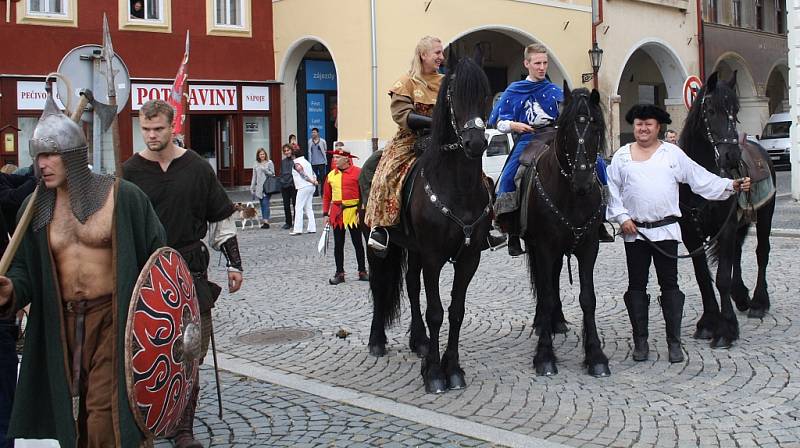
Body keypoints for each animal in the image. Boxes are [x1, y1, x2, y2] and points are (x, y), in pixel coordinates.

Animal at [368, 54, 494, 394]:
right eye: (453, 94)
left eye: (485, 94)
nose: (475, 143)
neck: (457, 187)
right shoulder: (434, 257)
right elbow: (436, 312)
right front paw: (435, 374)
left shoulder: (468, 258)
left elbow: (456, 311)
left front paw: (453, 368)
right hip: (376, 245)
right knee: (379, 286)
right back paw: (376, 341)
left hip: (414, 250)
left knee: (411, 285)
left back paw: (419, 341)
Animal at [520, 86, 608, 376]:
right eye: (568, 128)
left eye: (595, 127)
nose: (582, 181)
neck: (573, 197)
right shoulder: (544, 246)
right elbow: (546, 295)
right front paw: (545, 355)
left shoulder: (590, 247)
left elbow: (588, 298)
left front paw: (596, 355)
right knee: (545, 282)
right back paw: (543, 323)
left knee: (554, 276)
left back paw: (556, 322)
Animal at [676, 72, 776, 348]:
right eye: (710, 110)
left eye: (736, 111)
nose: (732, 155)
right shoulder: (691, 232)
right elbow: (703, 275)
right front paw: (708, 323)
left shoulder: (726, 226)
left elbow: (721, 275)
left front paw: (726, 328)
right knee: (737, 254)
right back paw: (740, 295)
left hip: (765, 216)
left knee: (761, 253)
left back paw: (758, 302)